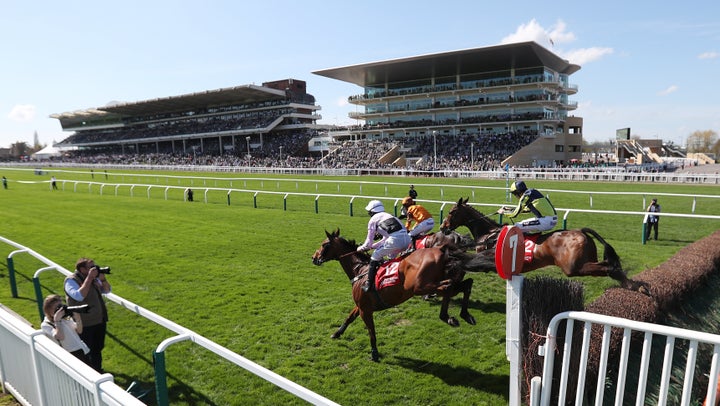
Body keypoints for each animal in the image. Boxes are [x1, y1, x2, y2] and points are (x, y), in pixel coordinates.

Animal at [310, 228, 476, 362]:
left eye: (324, 244)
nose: (314, 257)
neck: (360, 270)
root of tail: (441, 248)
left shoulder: (365, 310)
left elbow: (371, 332)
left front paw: (374, 354)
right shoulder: (361, 306)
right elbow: (349, 317)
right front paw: (337, 333)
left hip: (420, 287)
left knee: (448, 286)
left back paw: (447, 316)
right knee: (466, 283)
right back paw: (464, 315)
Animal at [438, 198, 648, 294]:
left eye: (451, 212)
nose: (443, 227)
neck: (490, 234)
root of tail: (580, 231)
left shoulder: (490, 260)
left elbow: (468, 261)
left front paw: (451, 264)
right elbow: (466, 259)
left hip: (573, 267)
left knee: (609, 267)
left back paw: (635, 285)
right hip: (586, 262)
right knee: (608, 267)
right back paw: (635, 285)